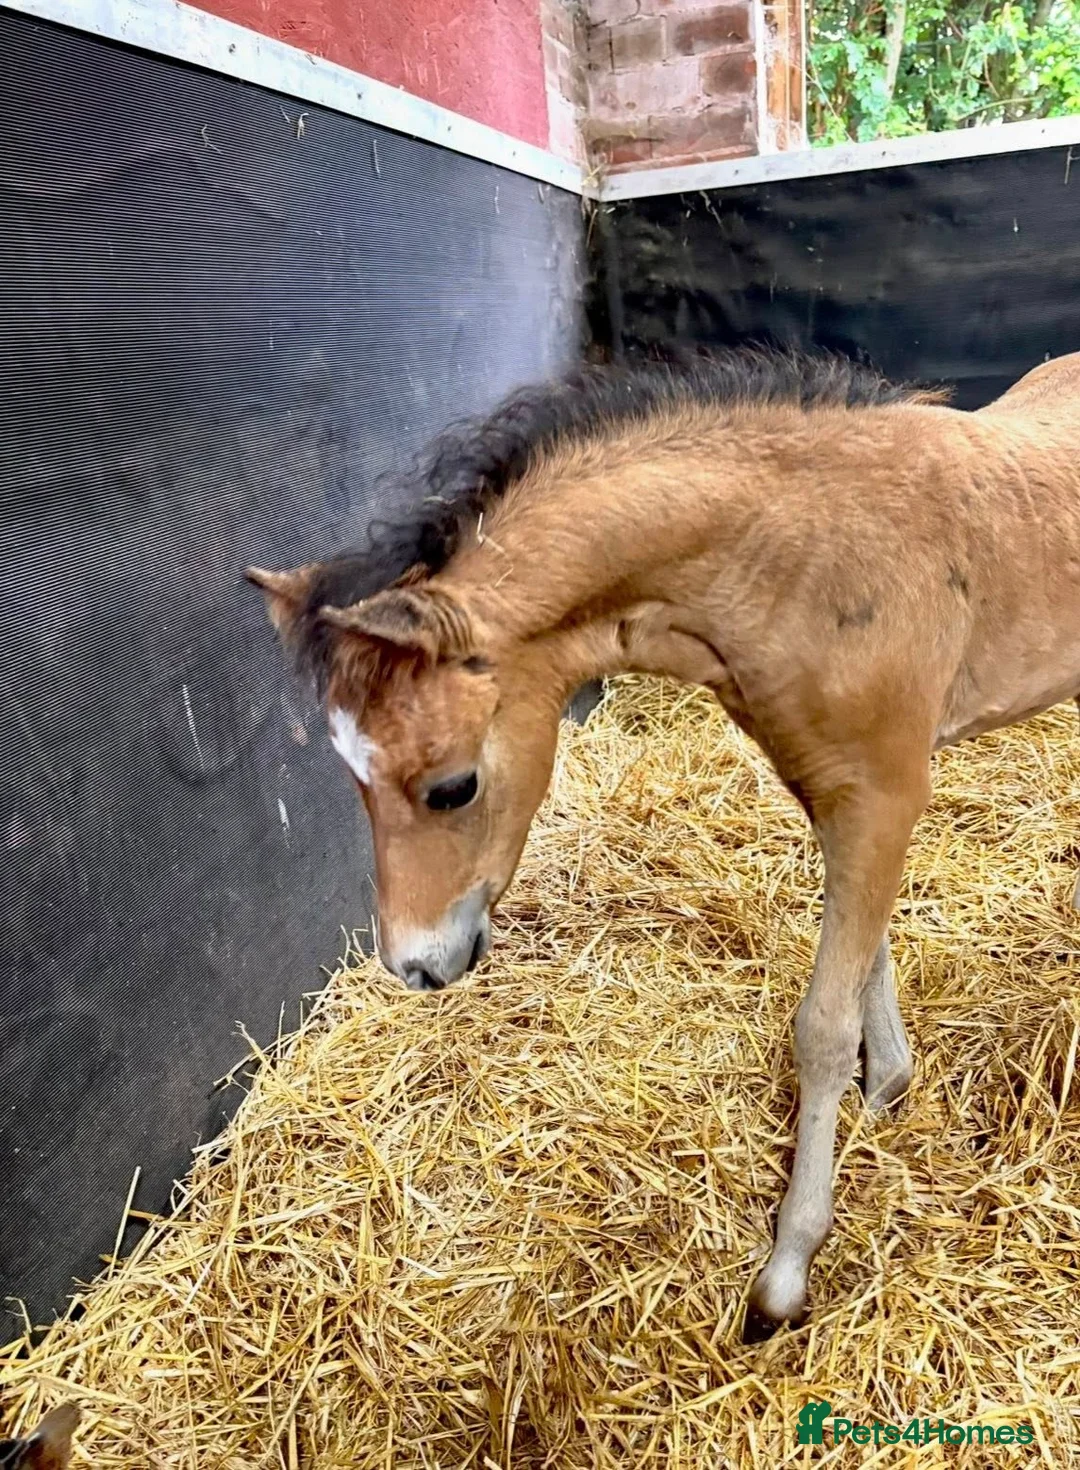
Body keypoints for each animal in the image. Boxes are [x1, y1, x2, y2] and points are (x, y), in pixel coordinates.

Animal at [248, 346, 1080, 1341]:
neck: (815, 555)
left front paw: (785, 1275)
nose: (413, 966)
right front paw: (889, 1087)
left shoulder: (885, 791)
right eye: (353, 781)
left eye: (453, 787)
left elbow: (822, 1024)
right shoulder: (837, 787)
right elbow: (867, 955)